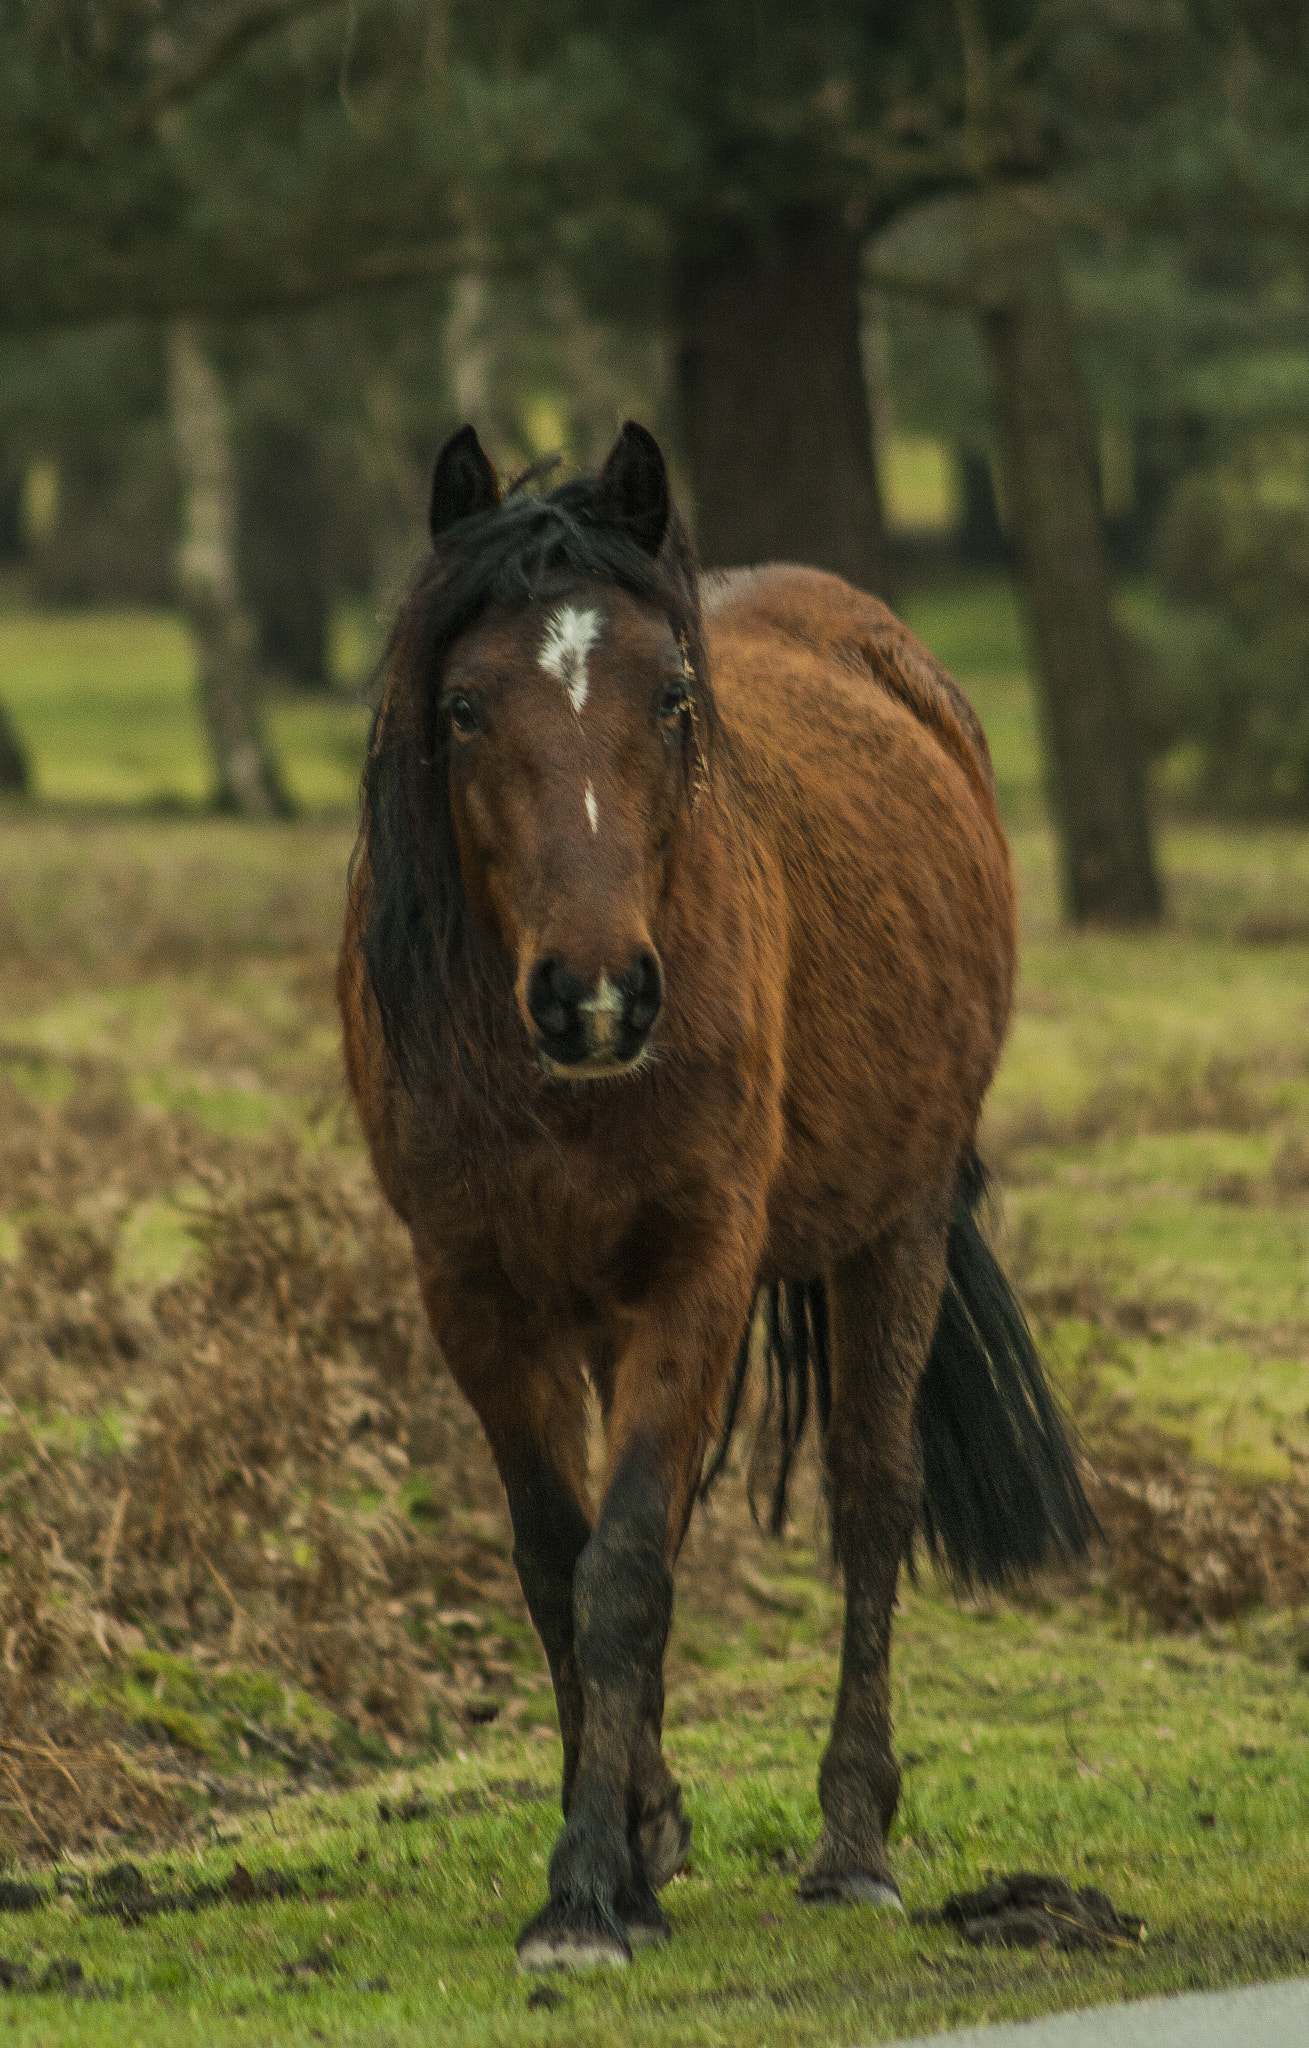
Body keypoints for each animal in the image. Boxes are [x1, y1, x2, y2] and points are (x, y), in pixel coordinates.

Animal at [340, 419, 1098, 1966]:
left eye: (673, 694)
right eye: (464, 705)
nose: (596, 995)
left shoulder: (696, 1268)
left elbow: (624, 1567)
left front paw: (585, 1890)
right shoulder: (478, 1292)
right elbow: (558, 1562)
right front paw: (624, 1845)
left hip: (897, 1224)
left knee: (870, 1495)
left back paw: (854, 1839)